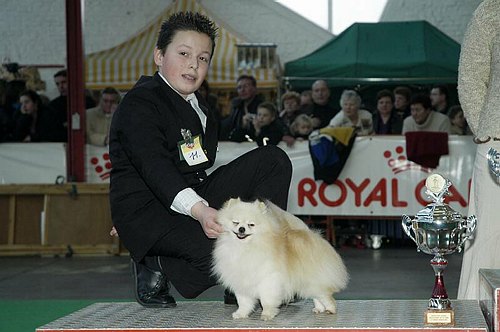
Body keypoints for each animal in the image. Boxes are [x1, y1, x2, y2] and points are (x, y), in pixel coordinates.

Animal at [213, 198, 350, 320]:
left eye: (251, 224)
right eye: (235, 222)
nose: (242, 229)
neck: (244, 247)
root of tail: (312, 236)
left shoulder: (268, 280)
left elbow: (266, 301)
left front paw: (267, 315)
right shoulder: (242, 282)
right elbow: (243, 302)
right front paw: (241, 314)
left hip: (314, 280)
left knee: (326, 295)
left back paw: (330, 309)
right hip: (308, 283)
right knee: (317, 295)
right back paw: (319, 308)